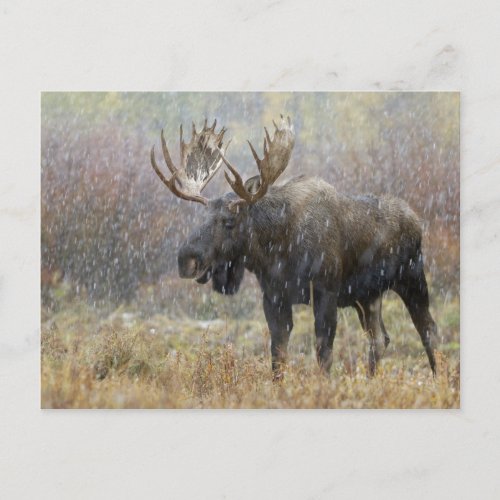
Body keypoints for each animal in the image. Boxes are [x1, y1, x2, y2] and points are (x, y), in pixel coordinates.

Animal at [149, 115, 438, 376]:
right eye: (203, 216)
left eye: (229, 221)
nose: (186, 259)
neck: (277, 250)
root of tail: (416, 220)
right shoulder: (273, 296)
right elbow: (278, 355)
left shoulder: (325, 290)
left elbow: (323, 352)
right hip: (368, 295)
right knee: (379, 338)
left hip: (412, 278)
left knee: (428, 330)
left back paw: (438, 378)